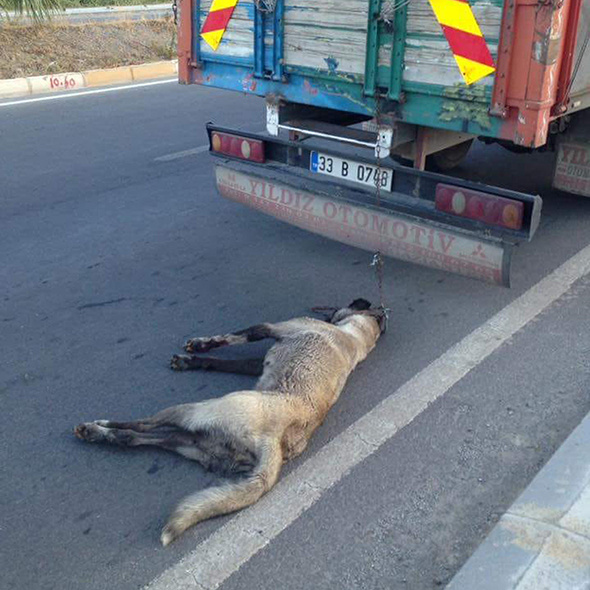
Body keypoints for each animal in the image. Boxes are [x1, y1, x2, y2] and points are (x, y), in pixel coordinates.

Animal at [74, 298, 386, 548]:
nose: (330, 309)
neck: (356, 337)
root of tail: (275, 442)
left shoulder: (274, 327)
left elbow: (237, 336)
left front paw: (201, 344)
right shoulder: (257, 362)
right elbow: (222, 361)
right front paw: (192, 360)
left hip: (195, 410)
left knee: (143, 425)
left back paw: (97, 427)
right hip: (193, 443)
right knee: (139, 438)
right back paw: (102, 434)